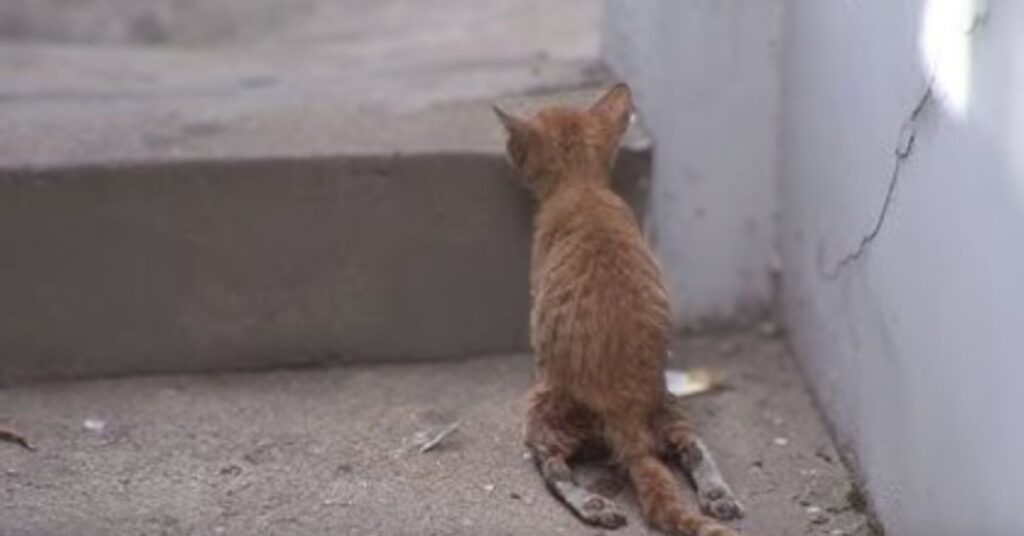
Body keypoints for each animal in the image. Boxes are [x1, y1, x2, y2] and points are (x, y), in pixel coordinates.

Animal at [495, 86, 745, 532]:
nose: (505, 153)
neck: (582, 189)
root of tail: (624, 413)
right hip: (668, 404)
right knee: (692, 445)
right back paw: (717, 494)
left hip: (543, 407)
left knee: (554, 467)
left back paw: (593, 504)